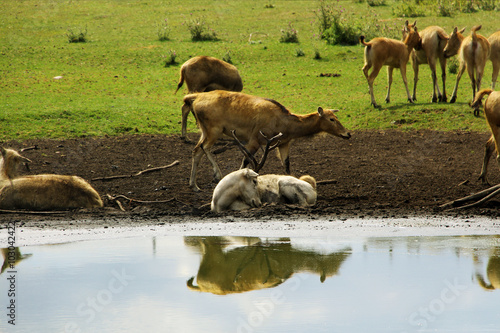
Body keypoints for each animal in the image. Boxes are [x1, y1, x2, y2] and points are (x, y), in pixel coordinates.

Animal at [181, 89, 352, 191]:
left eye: (336, 117)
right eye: (331, 119)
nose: (347, 133)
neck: (286, 126)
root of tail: (195, 98)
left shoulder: (284, 143)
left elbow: (287, 165)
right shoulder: (255, 139)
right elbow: (245, 162)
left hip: (204, 130)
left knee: (196, 150)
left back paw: (194, 185)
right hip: (214, 129)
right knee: (205, 148)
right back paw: (217, 174)